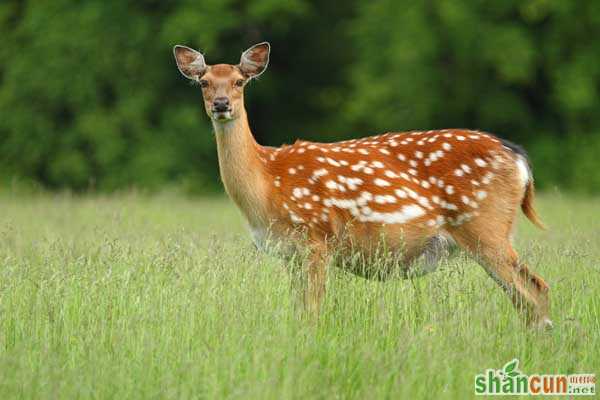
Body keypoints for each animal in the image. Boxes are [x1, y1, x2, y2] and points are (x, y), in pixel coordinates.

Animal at [171, 41, 552, 328]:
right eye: (204, 81)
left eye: (239, 81)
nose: (221, 104)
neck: (266, 183)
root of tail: (518, 158)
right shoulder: (289, 253)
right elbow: (299, 312)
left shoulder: (316, 238)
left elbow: (312, 313)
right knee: (528, 296)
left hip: (485, 227)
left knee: (535, 290)